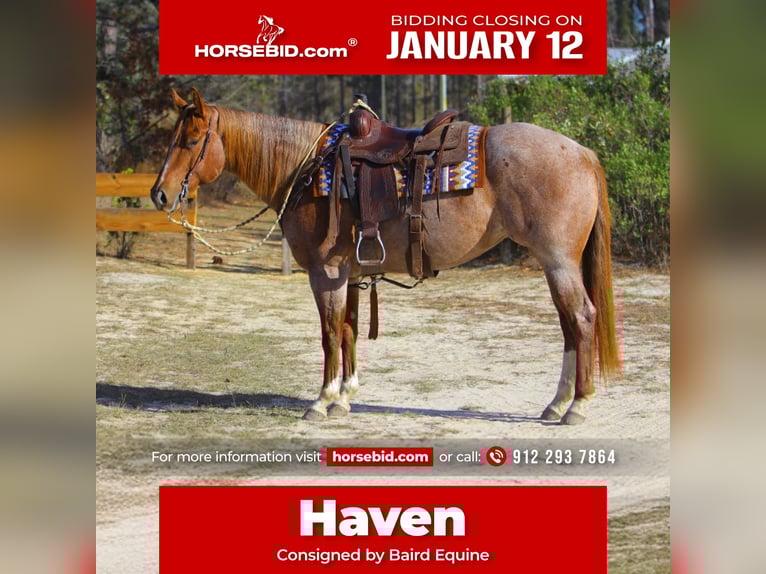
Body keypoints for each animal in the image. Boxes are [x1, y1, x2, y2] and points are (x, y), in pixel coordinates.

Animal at [150, 88, 622, 425]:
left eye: (191, 140)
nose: (159, 194)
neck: (306, 168)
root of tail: (583, 152)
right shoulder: (350, 272)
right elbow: (349, 330)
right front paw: (346, 396)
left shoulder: (325, 272)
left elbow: (328, 334)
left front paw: (321, 401)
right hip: (555, 263)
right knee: (568, 326)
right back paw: (557, 403)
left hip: (558, 261)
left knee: (581, 319)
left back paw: (576, 406)